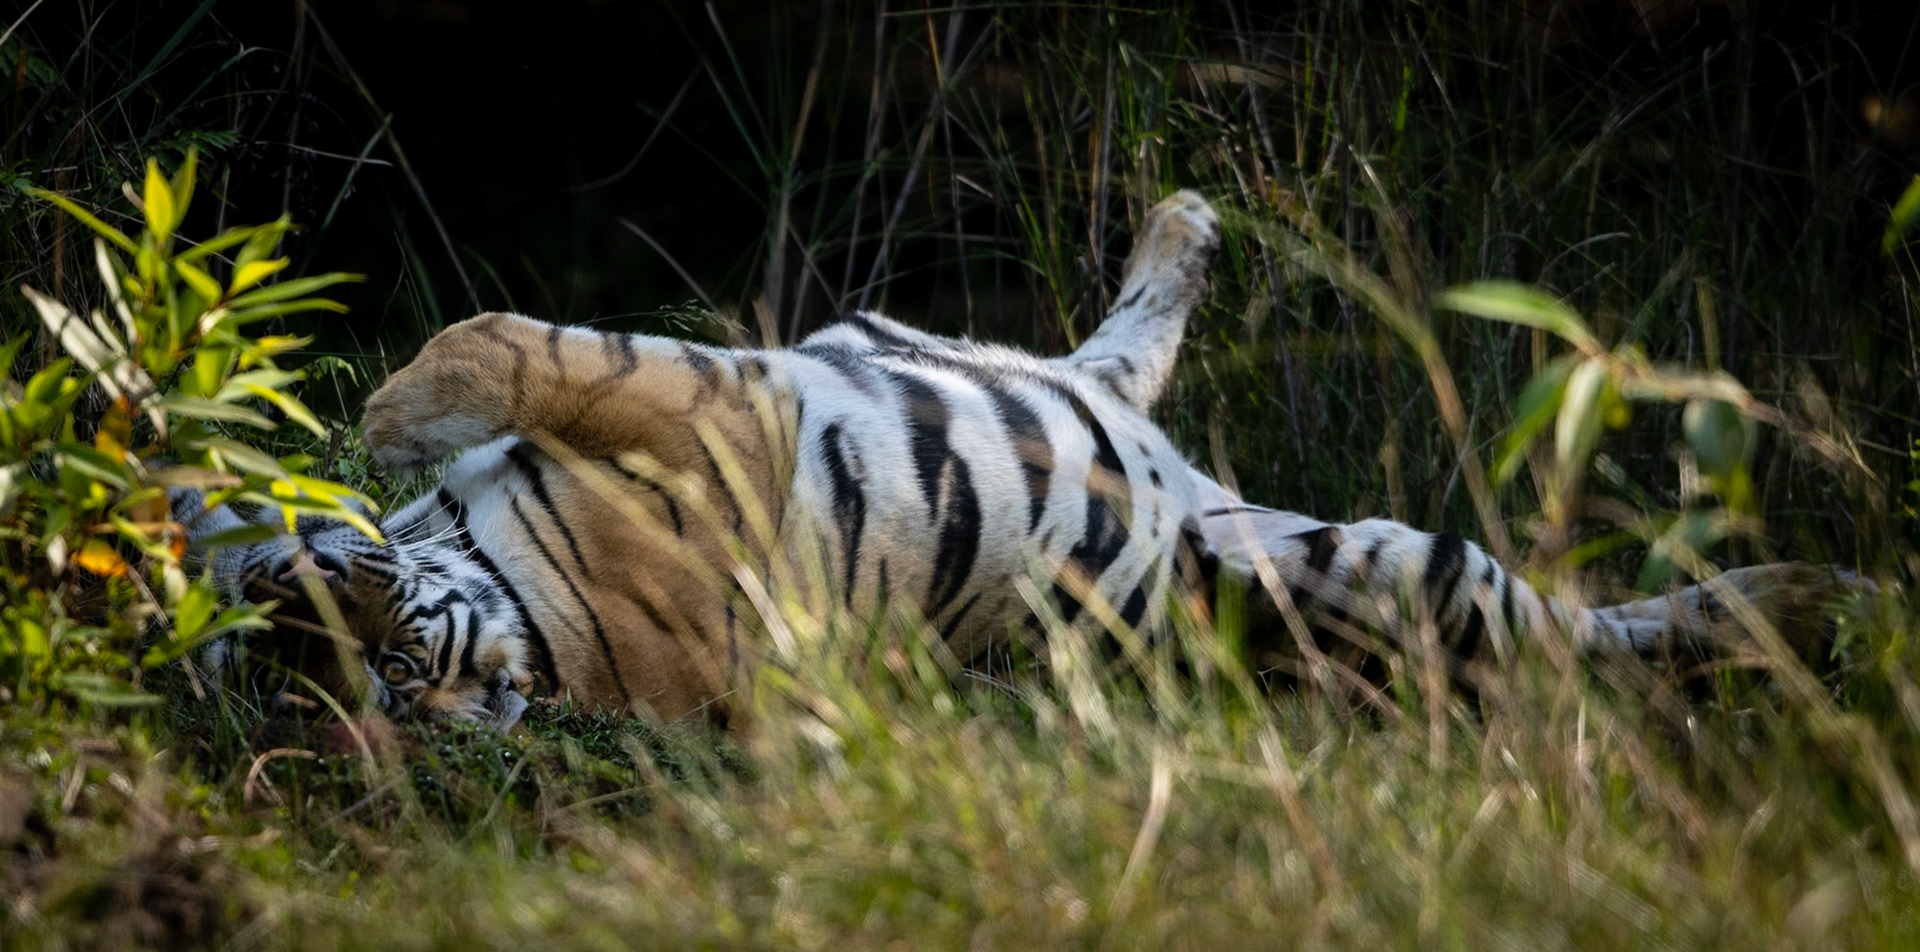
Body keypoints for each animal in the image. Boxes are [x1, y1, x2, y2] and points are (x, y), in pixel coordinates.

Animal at [178, 190, 1858, 730]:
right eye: (388, 678)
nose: (300, 600)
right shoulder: (723, 416)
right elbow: (537, 348)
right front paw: (390, 420)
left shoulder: (723, 401)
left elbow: (507, 345)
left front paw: (364, 423)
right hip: (1363, 563)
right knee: (1580, 635)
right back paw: (1808, 602)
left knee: (1095, 352)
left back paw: (1186, 223)